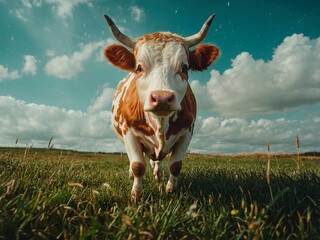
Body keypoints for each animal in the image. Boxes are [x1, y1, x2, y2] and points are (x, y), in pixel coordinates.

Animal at [104, 14, 219, 202]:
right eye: (139, 67)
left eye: (184, 67)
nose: (162, 98)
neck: (160, 121)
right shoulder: (128, 131)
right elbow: (137, 165)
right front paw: (136, 195)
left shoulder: (187, 132)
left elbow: (175, 165)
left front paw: (170, 190)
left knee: (157, 160)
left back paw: (158, 175)